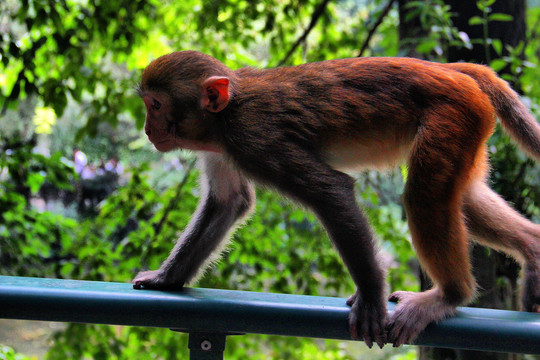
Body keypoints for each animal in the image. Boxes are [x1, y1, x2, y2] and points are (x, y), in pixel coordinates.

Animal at [134, 50, 540, 348]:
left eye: (156, 105)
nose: (148, 129)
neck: (226, 113)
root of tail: (448, 71)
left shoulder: (254, 139)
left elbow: (331, 190)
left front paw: (372, 299)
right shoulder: (219, 146)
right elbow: (229, 202)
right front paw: (165, 279)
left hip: (452, 114)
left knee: (424, 197)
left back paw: (449, 297)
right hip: (468, 124)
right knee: (462, 197)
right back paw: (532, 248)